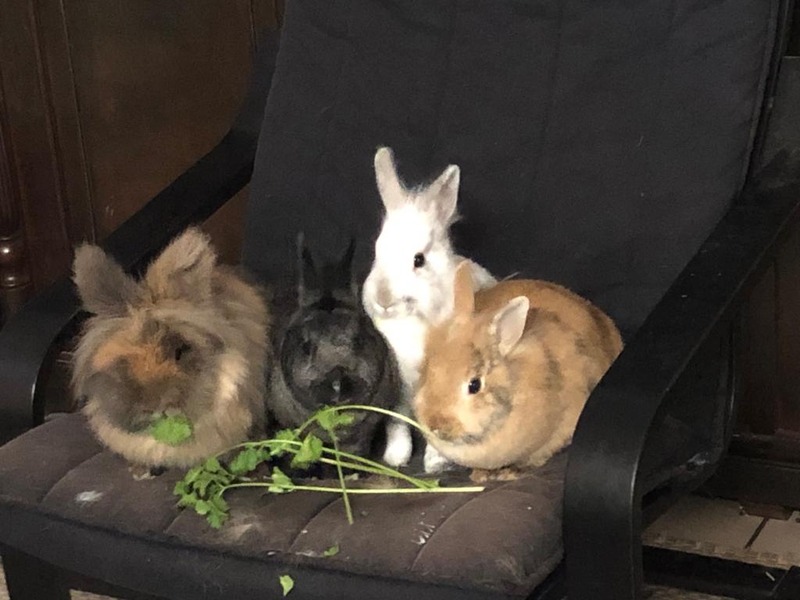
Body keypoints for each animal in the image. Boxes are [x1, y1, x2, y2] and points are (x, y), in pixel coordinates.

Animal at [362, 146, 496, 472]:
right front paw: (395, 457)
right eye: (377, 253)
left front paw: (435, 462)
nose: (383, 298)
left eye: (418, 260)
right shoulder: (400, 389)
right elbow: (397, 422)